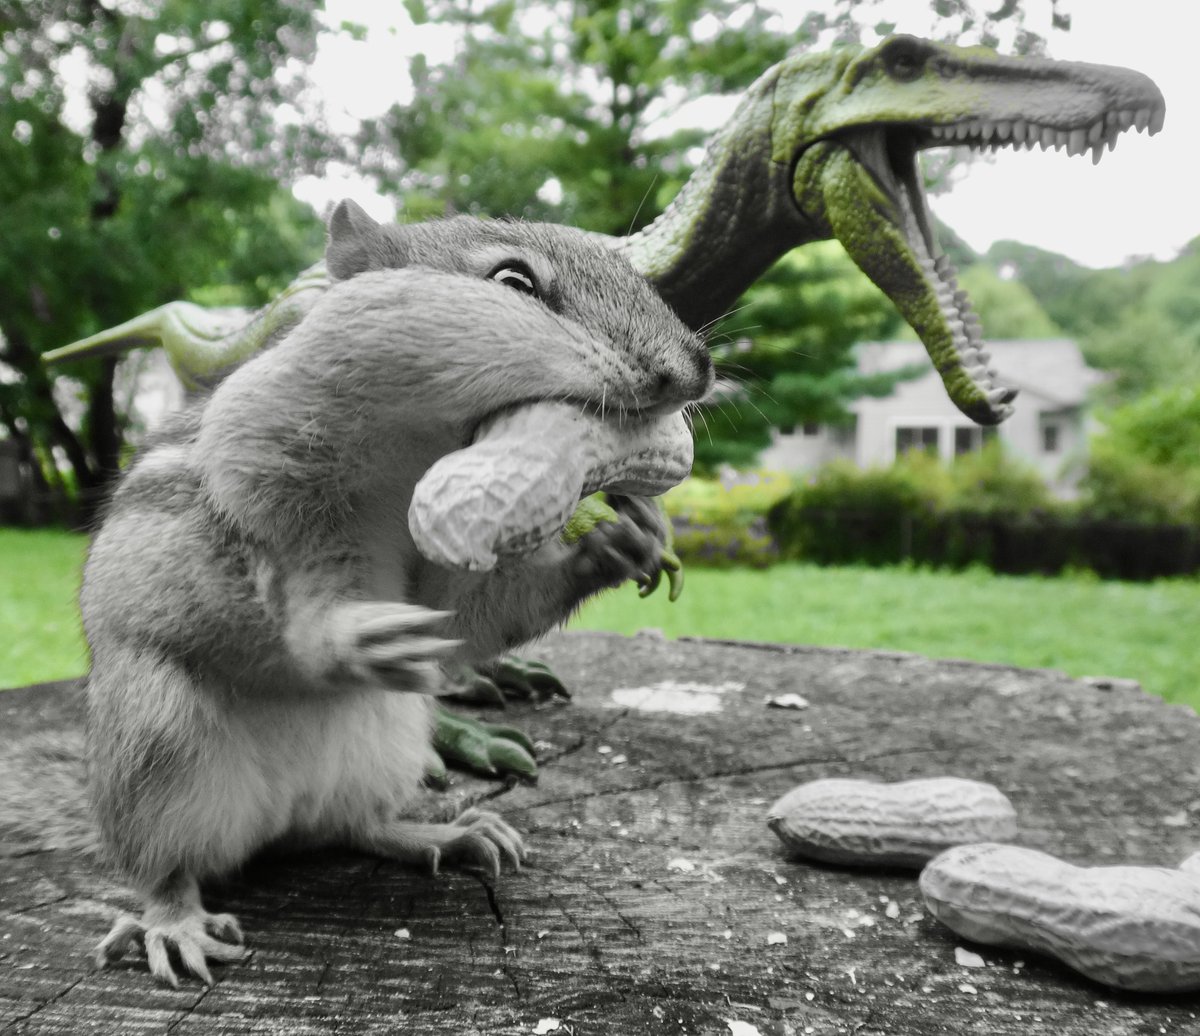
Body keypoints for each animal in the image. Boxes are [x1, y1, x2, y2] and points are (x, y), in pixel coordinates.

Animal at [80, 199, 714, 986]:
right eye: (513, 281)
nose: (696, 368)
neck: (421, 449)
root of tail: (276, 823)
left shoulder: (444, 563)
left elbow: (475, 616)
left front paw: (626, 538)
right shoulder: (265, 496)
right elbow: (302, 603)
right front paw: (357, 634)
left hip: (389, 743)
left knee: (354, 828)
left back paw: (443, 833)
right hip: (157, 744)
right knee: (165, 867)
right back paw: (173, 924)